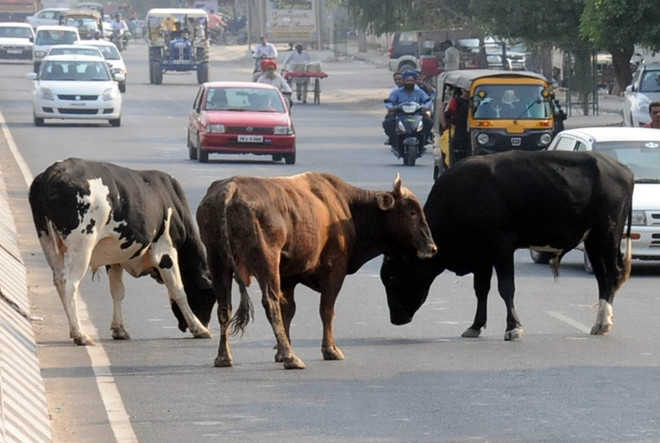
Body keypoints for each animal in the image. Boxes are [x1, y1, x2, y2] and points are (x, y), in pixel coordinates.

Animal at [29, 158, 214, 346]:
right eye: (210, 296)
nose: (184, 326)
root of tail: (54, 170)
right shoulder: (165, 249)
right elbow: (178, 290)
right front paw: (200, 328)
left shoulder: (114, 258)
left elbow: (117, 291)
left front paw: (119, 330)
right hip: (82, 246)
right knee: (70, 283)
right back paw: (80, 334)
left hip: (47, 240)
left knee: (59, 279)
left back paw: (74, 331)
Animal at [196, 173, 438, 372]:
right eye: (412, 212)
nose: (432, 247)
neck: (346, 208)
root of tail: (231, 189)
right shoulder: (334, 271)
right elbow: (326, 310)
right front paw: (329, 349)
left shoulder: (288, 277)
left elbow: (289, 311)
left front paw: (280, 350)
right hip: (267, 262)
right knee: (270, 303)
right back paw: (291, 358)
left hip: (218, 261)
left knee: (224, 307)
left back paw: (224, 357)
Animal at [382, 151, 636, 342]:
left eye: (394, 277)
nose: (395, 318)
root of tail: (623, 169)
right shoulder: (482, 255)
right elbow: (481, 290)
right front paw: (475, 326)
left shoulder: (501, 246)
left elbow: (506, 288)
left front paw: (513, 328)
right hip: (593, 240)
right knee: (603, 277)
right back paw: (600, 323)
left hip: (607, 234)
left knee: (611, 274)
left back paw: (603, 322)